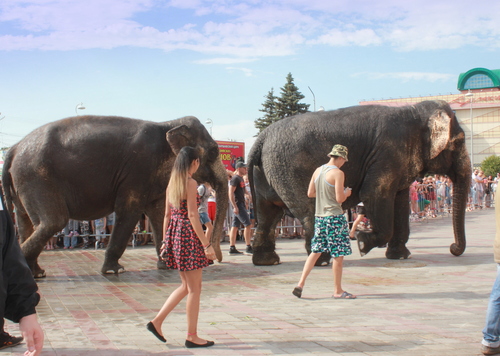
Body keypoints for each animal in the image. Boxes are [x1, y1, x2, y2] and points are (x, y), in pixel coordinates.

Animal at [1, 115, 229, 276]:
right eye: (213, 151)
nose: (215, 259)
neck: (168, 124)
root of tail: (14, 148)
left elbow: (158, 214)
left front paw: (165, 265)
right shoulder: (137, 171)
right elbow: (129, 212)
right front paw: (114, 270)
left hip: (23, 182)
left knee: (27, 222)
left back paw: (36, 273)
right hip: (37, 177)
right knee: (54, 221)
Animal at [250, 99, 472, 264]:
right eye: (459, 141)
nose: (453, 248)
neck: (415, 111)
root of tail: (261, 138)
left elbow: (399, 201)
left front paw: (400, 256)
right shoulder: (387, 153)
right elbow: (374, 194)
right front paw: (363, 243)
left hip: (267, 172)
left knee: (268, 213)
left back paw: (268, 261)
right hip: (292, 170)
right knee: (307, 211)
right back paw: (322, 260)